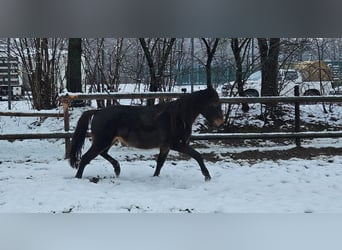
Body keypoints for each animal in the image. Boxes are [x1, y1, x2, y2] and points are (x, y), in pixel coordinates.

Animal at [69, 87, 224, 181]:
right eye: (214, 104)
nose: (220, 123)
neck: (177, 117)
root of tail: (98, 112)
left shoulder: (166, 147)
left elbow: (160, 163)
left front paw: (155, 178)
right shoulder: (176, 144)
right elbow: (197, 155)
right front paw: (207, 176)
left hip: (108, 141)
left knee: (102, 154)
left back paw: (117, 169)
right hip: (103, 141)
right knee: (85, 158)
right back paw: (78, 178)